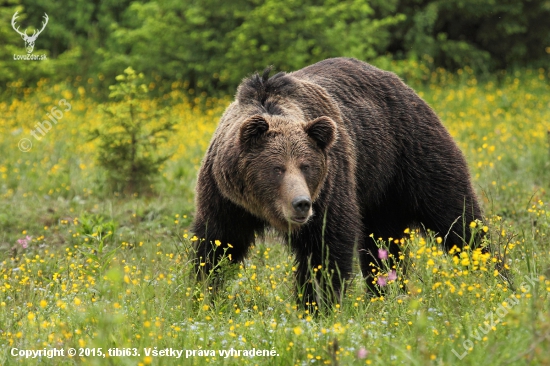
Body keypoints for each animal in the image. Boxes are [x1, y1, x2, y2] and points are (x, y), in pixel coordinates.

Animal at [192, 57, 486, 308]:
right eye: (277, 169)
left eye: (306, 166)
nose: (301, 204)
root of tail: (400, 83)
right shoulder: (225, 198)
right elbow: (217, 243)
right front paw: (204, 295)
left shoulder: (329, 188)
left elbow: (325, 247)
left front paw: (316, 305)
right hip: (380, 193)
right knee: (383, 244)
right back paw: (385, 294)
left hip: (410, 153)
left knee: (456, 216)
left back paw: (488, 273)